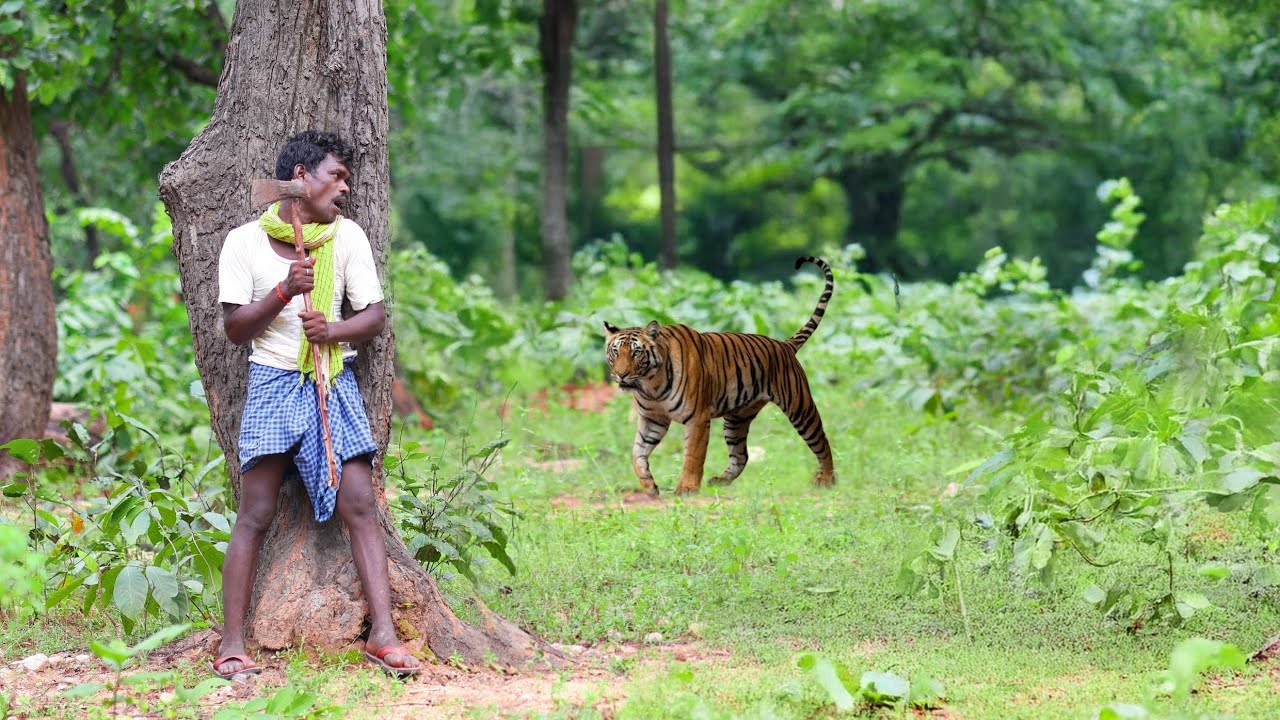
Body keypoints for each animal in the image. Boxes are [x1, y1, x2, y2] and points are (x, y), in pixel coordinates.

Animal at [603, 256, 835, 496]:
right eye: (615, 351)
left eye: (636, 352)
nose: (621, 375)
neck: (651, 385)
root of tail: (784, 344)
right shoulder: (652, 419)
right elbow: (637, 453)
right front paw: (649, 486)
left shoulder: (697, 418)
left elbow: (693, 456)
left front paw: (686, 488)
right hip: (737, 419)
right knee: (741, 455)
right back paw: (720, 481)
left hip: (800, 407)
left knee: (822, 440)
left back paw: (826, 479)